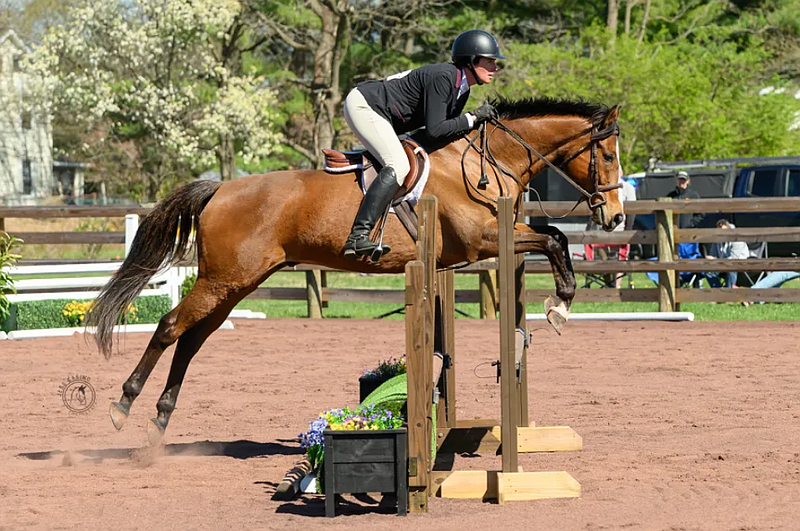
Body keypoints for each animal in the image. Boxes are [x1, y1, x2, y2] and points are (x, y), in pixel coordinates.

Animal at [87, 97, 624, 444]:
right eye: (607, 153)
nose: (616, 218)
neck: (483, 163)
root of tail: (219, 188)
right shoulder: (481, 241)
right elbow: (553, 239)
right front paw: (560, 305)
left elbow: (554, 236)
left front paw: (558, 305)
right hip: (223, 280)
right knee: (169, 327)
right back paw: (122, 406)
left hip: (236, 283)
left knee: (193, 339)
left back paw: (160, 419)